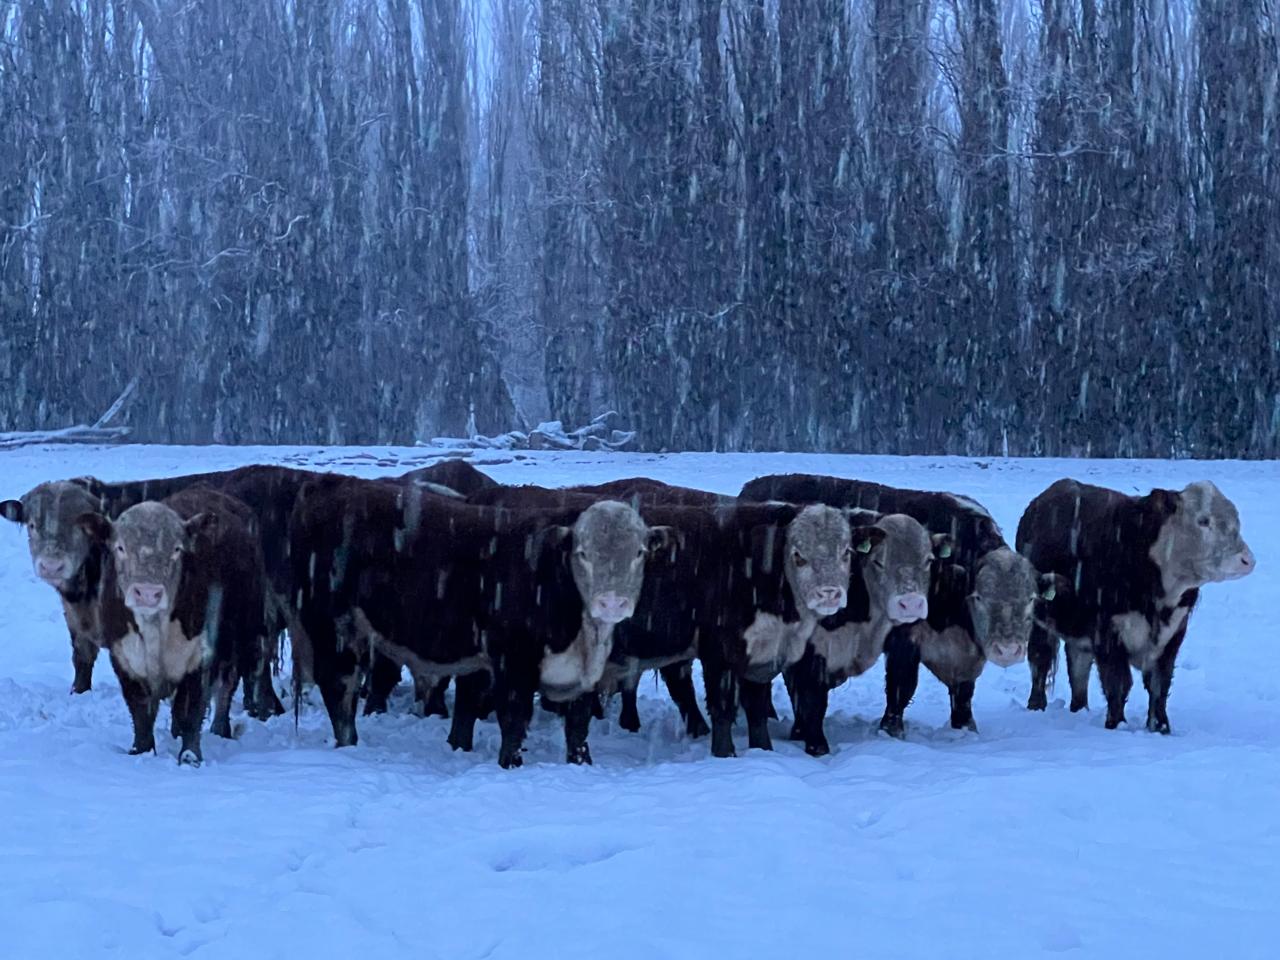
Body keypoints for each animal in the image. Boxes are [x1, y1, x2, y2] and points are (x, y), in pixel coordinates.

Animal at [78, 488, 271, 768]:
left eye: (177, 549)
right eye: (120, 547)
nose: (148, 593)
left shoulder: (201, 655)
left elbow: (192, 708)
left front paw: (190, 757)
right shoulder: (124, 658)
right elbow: (141, 712)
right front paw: (141, 752)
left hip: (241, 638)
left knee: (225, 688)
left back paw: (219, 730)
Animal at [737, 473, 1054, 737]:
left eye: (1031, 599)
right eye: (980, 597)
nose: (1008, 649)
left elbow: (964, 692)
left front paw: (966, 728)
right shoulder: (904, 639)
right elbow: (901, 685)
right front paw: (891, 729)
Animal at [1013, 478, 1254, 732]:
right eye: (1203, 520)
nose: (1247, 560)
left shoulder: (1173, 635)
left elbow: (1159, 685)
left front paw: (1161, 728)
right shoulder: (1108, 633)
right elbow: (1118, 684)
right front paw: (1116, 724)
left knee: (1078, 666)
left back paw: (1080, 709)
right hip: (1039, 618)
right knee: (1040, 659)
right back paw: (1036, 706)